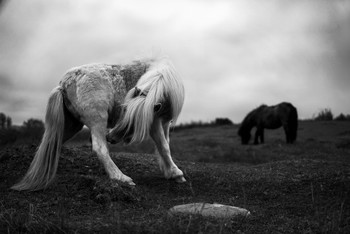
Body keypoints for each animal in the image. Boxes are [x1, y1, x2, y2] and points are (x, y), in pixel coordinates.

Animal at [10, 57, 186, 191]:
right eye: (125, 112)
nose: (111, 137)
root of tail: (65, 83)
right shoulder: (154, 122)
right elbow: (163, 145)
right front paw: (176, 173)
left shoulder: (164, 122)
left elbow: (164, 145)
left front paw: (168, 170)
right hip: (98, 121)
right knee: (100, 148)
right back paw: (120, 177)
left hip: (72, 126)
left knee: (52, 143)